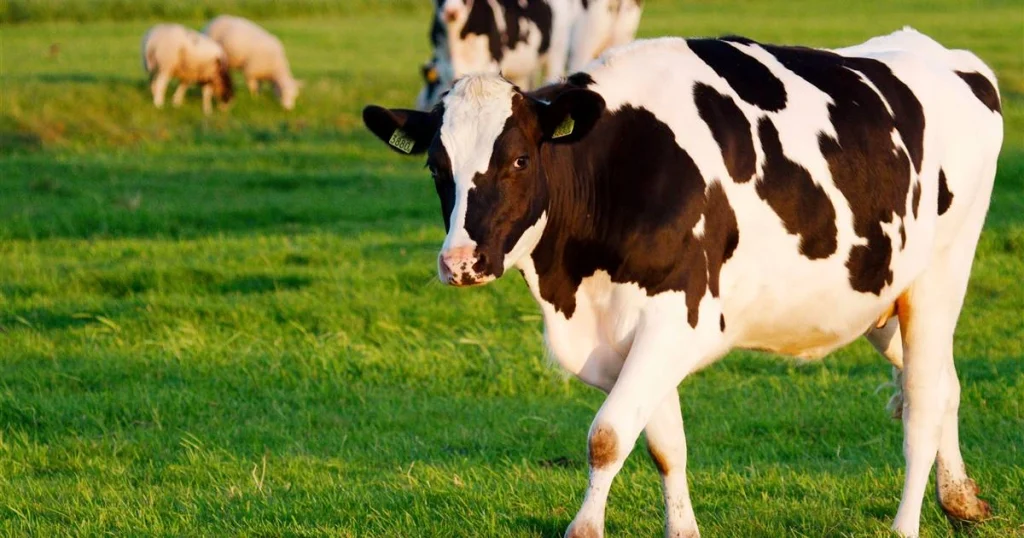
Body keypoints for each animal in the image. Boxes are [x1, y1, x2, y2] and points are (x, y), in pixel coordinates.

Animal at [364, 28, 1002, 538]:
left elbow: (608, 435)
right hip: (883, 297)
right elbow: (664, 446)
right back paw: (960, 499)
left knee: (921, 402)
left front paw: (585, 527)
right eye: (436, 167)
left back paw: (906, 525)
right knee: (943, 382)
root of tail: (948, 55)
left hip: (941, 275)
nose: (460, 262)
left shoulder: (681, 318)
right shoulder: (632, 329)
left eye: (519, 160)